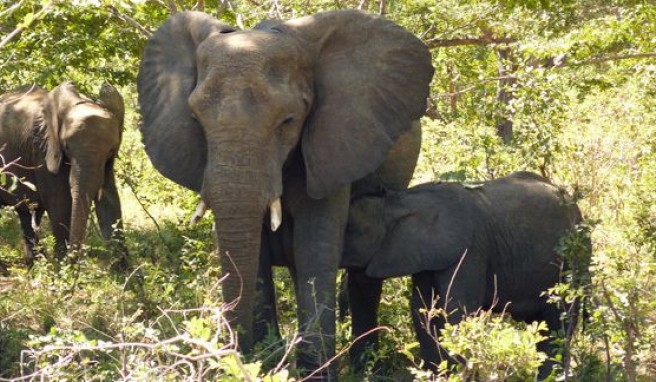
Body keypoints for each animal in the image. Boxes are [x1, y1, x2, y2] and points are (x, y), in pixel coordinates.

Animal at [0, 81, 127, 268]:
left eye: (111, 150)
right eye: (66, 147)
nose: (75, 263)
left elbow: (110, 201)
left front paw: (126, 273)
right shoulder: (43, 149)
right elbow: (60, 203)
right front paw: (62, 269)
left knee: (27, 213)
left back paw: (34, 264)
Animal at [138, 8, 434, 380]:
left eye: (288, 121)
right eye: (195, 119)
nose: (235, 355)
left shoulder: (334, 142)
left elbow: (315, 242)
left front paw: (310, 372)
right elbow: (259, 251)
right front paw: (266, 362)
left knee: (364, 275)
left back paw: (366, 367)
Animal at [344, 172, 588, 380]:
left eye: (349, 230)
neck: (398, 201)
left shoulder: (469, 249)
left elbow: (457, 309)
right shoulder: (426, 256)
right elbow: (423, 310)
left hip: (572, 257)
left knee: (560, 319)